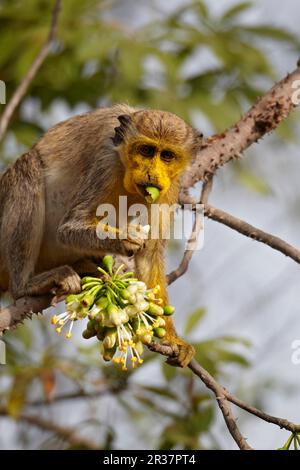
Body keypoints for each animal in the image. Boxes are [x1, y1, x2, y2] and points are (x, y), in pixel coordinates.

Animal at [0, 103, 203, 368]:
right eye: (146, 151)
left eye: (167, 156)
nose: (151, 174)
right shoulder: (106, 163)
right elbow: (68, 228)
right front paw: (123, 239)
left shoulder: (171, 186)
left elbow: (149, 254)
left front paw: (171, 339)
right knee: (28, 165)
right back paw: (25, 286)